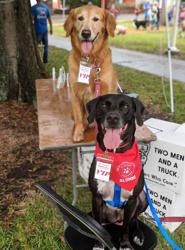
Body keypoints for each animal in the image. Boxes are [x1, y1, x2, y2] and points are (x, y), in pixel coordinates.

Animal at [63, 4, 117, 141]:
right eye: (80, 18)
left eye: (96, 19)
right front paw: (78, 132)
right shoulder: (76, 93)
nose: (86, 33)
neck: (90, 61)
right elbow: (79, 117)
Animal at [86, 94, 148, 250]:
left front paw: (125, 244)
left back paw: (138, 235)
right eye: (104, 105)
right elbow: (97, 225)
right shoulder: (96, 197)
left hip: (143, 199)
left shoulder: (132, 200)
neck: (115, 154)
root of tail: (115, 220)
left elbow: (126, 227)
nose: (113, 118)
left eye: (125, 106)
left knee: (134, 219)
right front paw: (99, 244)